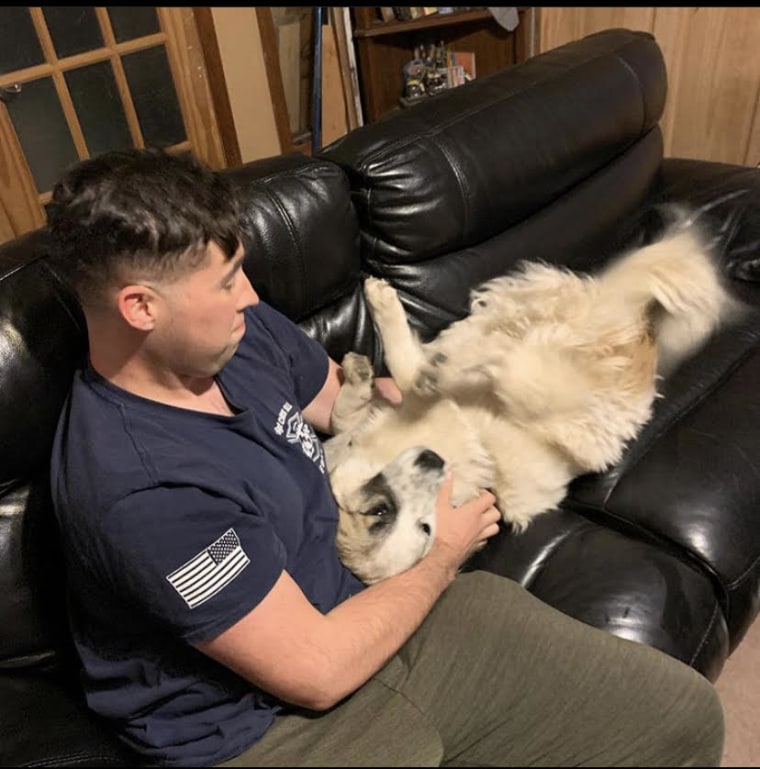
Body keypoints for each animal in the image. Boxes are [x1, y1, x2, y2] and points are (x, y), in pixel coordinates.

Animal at [326, 210, 736, 584]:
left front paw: (366, 364)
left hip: (536, 378)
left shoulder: (419, 406)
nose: (432, 459)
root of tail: (639, 343)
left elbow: (383, 385)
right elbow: (361, 403)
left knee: (502, 342)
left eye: (381, 513)